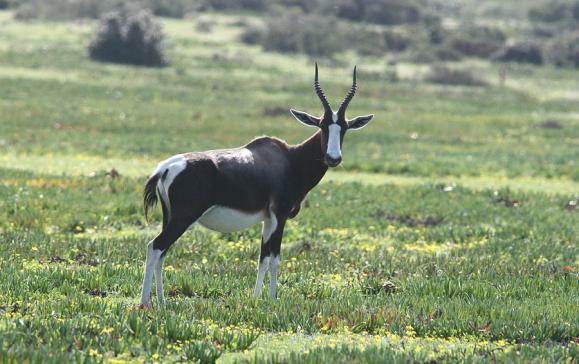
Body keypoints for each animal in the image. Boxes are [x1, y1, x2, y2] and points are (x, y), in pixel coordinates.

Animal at [139, 63, 374, 308]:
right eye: (322, 125)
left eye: (344, 127)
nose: (333, 158)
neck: (290, 158)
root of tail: (165, 168)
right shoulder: (280, 215)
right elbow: (275, 258)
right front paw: (273, 298)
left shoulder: (267, 219)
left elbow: (263, 257)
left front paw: (256, 297)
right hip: (183, 218)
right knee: (155, 247)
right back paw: (145, 302)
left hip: (169, 217)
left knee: (162, 252)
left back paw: (162, 301)